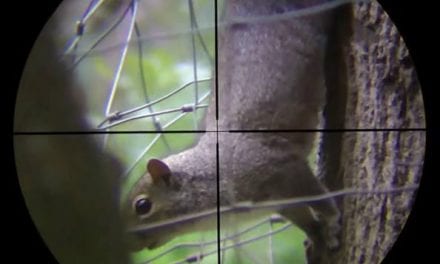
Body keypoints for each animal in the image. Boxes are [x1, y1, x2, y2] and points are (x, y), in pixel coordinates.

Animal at [122, 1, 342, 262]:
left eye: (142, 206)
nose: (125, 245)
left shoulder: (284, 170)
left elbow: (320, 199)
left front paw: (332, 223)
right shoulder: (279, 203)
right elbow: (304, 219)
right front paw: (317, 238)